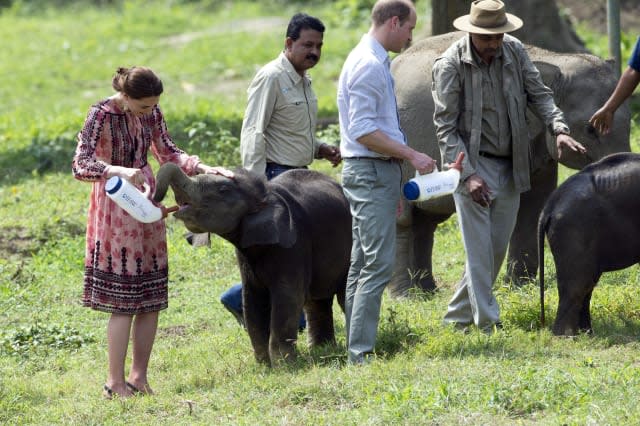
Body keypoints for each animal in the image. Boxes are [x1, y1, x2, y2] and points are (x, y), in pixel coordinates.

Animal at [390, 31, 632, 296]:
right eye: (590, 129)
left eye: (631, 120)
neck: (554, 58)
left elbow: (535, 203)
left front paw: (520, 287)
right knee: (403, 219)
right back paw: (405, 296)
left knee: (426, 221)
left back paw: (428, 292)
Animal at [536, 153, 640, 336]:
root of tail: (548, 207)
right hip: (574, 229)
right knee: (578, 285)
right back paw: (566, 336)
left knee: (587, 284)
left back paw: (586, 333)